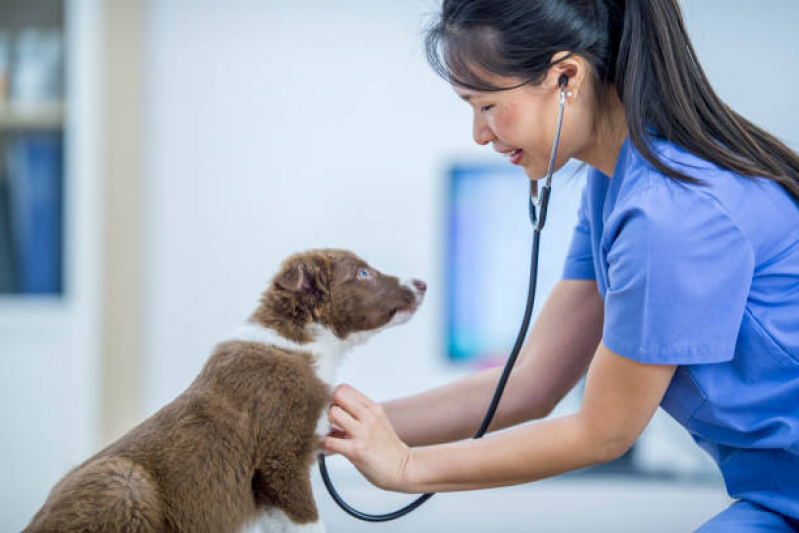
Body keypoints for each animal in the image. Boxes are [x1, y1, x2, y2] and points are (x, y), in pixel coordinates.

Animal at [23, 249, 424, 532]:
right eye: (363, 273)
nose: (422, 283)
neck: (300, 340)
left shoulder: (267, 486)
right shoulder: (281, 460)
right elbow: (309, 523)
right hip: (124, 484)